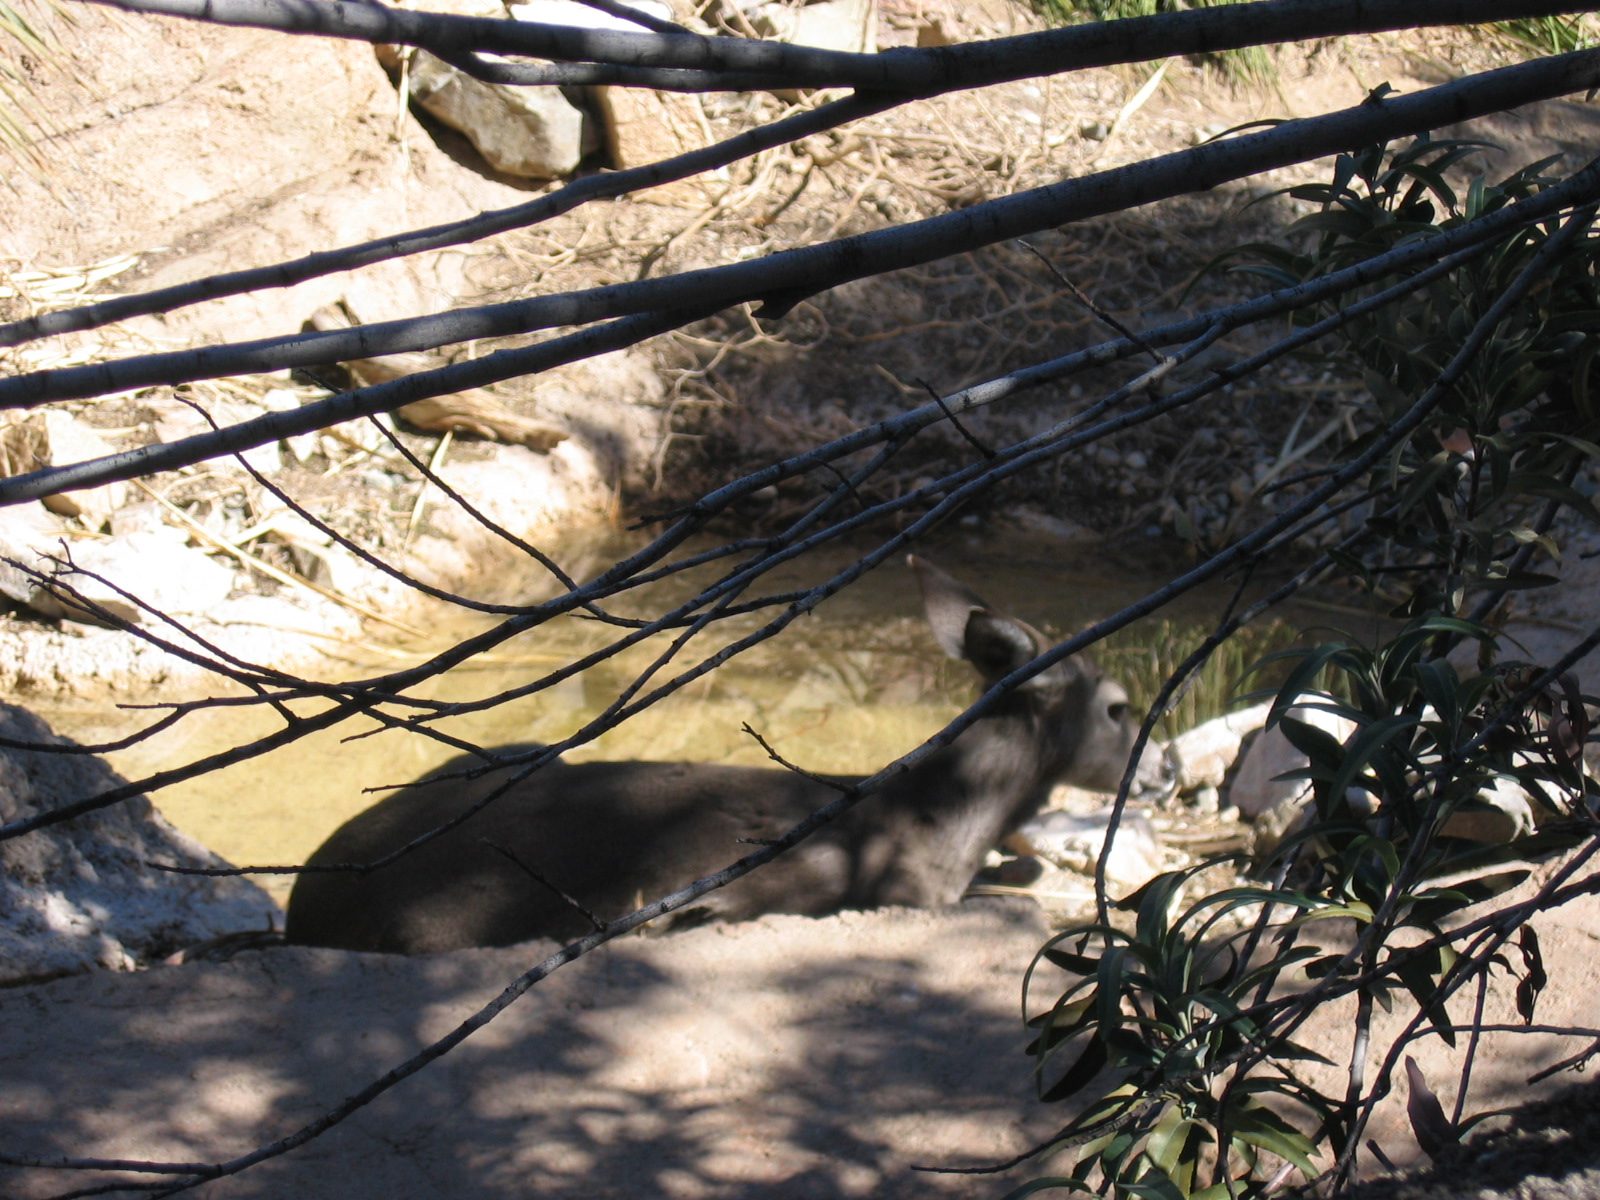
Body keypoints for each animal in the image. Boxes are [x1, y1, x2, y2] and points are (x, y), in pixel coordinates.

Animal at [284, 556, 1173, 953]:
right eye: (1118, 707)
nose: (1164, 770)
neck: (949, 820)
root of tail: (303, 906)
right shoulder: (894, 892)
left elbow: (1026, 864)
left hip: (515, 752)